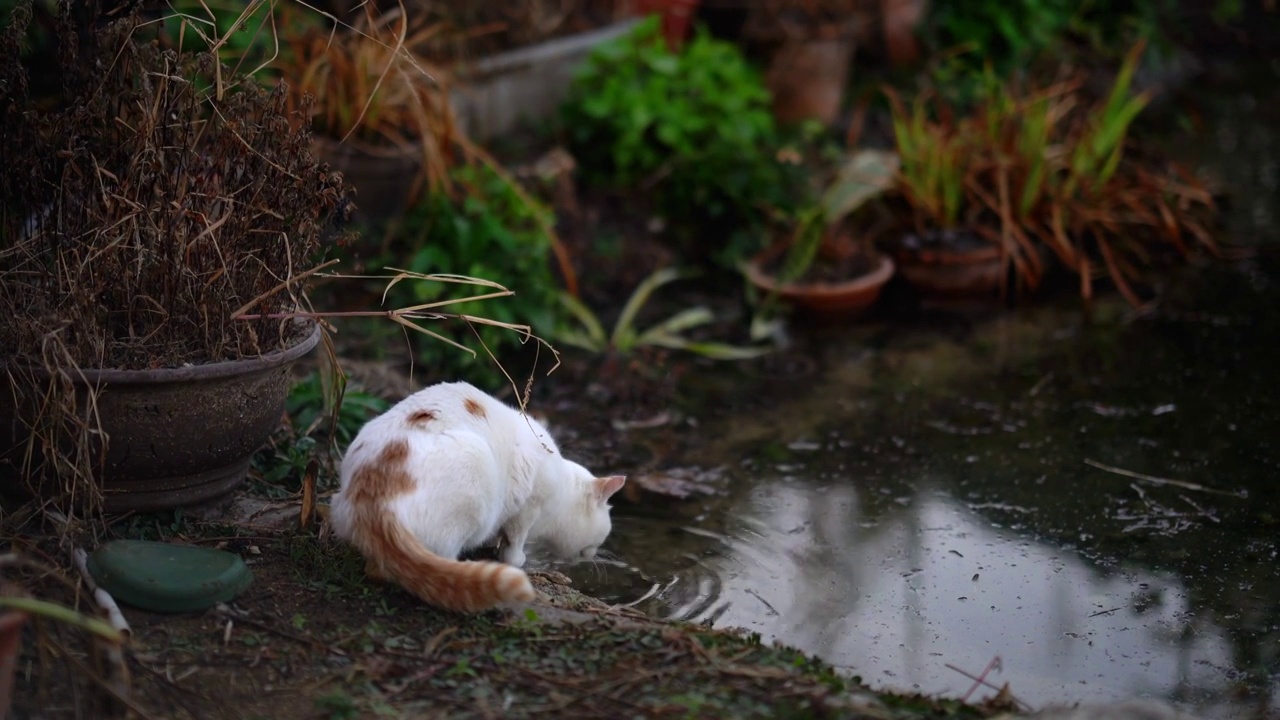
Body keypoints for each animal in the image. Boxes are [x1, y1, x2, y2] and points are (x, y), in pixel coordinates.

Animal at [327, 379, 627, 607]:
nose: (595, 554)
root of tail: (373, 495)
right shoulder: (528, 507)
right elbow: (515, 542)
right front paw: (515, 559)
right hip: (475, 466)